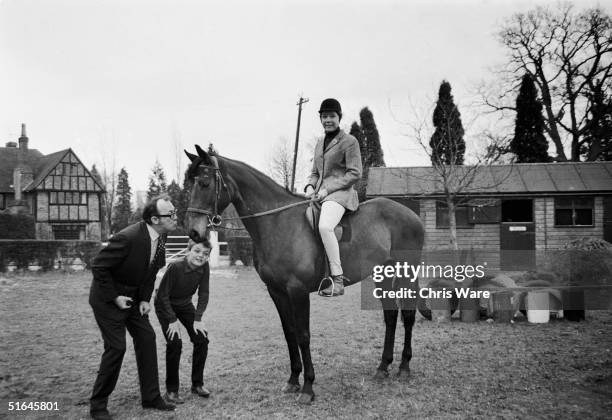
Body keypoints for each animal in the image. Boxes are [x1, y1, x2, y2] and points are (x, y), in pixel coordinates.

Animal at [185, 146, 426, 406]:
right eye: (190, 184)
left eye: (205, 183)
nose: (193, 232)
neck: (277, 223)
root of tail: (411, 214)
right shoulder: (277, 292)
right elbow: (289, 333)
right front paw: (293, 380)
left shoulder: (298, 291)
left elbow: (303, 335)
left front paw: (308, 387)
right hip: (382, 275)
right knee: (390, 316)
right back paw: (383, 367)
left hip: (407, 273)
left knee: (408, 316)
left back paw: (404, 367)